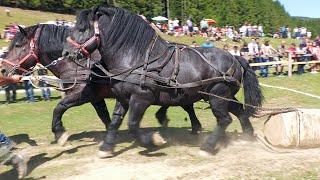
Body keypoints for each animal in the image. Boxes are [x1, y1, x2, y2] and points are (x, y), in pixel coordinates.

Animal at [1, 23, 202, 145]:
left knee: (186, 104)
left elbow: (59, 107)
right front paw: (111, 136)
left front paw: (59, 133)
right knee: (182, 103)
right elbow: (104, 116)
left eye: (18, 45)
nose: (3, 69)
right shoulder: (95, 97)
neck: (78, 63)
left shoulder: (82, 94)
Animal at [62, 5, 262, 158]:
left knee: (224, 119)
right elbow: (115, 121)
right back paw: (248, 136)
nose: (65, 53)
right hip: (223, 96)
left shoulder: (140, 98)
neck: (135, 57)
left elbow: (132, 124)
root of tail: (235, 57)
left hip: (217, 97)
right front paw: (106, 147)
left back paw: (207, 146)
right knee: (240, 112)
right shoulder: (123, 97)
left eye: (82, 29)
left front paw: (152, 141)